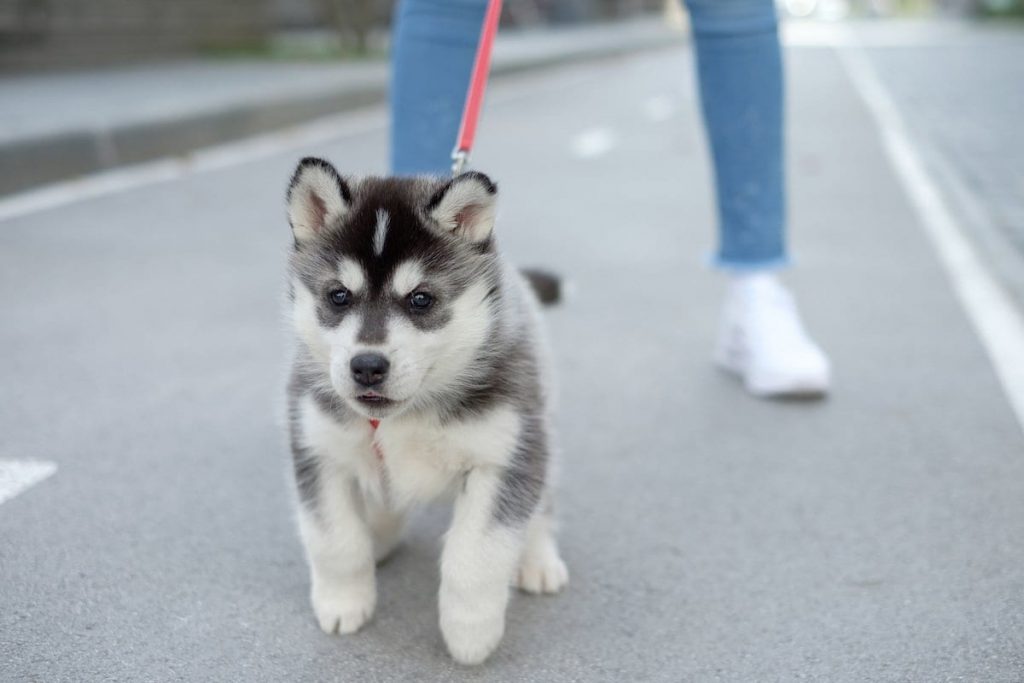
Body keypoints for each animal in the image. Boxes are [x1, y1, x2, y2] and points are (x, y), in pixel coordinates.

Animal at [284, 157, 569, 663]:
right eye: (338, 295)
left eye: (421, 299)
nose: (367, 366)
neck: (404, 416)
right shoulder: (319, 450)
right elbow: (335, 540)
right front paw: (342, 602)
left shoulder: (502, 457)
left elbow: (476, 554)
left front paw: (470, 634)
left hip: (539, 427)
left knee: (541, 502)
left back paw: (537, 559)